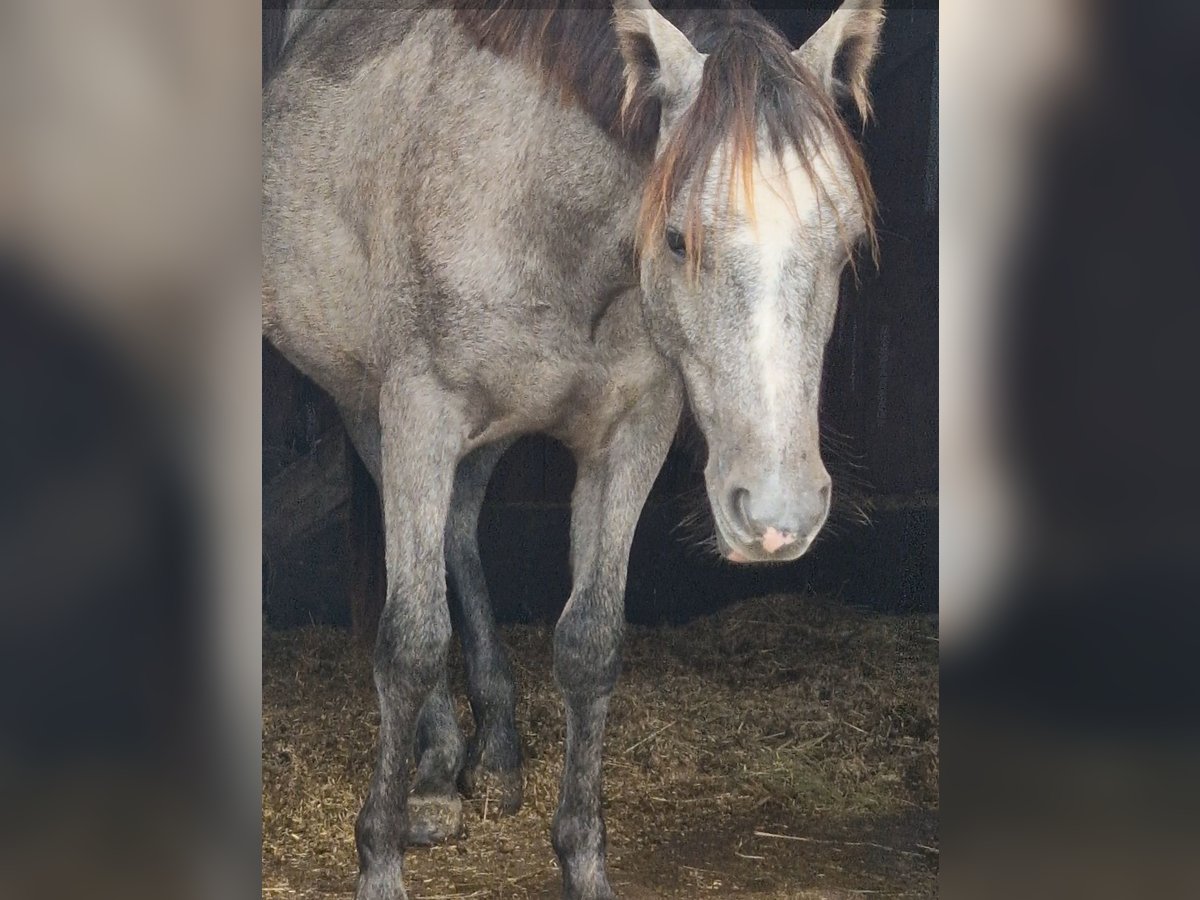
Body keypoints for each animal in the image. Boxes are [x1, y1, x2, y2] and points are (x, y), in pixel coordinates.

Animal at [262, 1, 883, 900]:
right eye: (675, 239)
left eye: (846, 243)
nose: (777, 516)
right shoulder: (420, 413)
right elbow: (409, 640)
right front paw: (378, 862)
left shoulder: (631, 436)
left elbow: (590, 644)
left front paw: (583, 861)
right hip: (369, 408)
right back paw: (435, 772)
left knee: (458, 532)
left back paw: (486, 756)